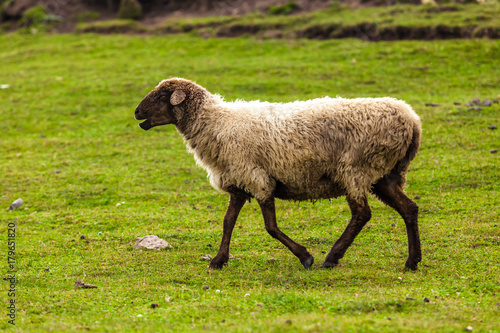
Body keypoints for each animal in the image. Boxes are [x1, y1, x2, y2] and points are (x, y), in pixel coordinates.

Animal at [134, 77, 422, 270]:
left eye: (160, 96)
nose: (136, 112)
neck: (216, 123)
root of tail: (412, 120)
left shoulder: (258, 178)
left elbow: (270, 227)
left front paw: (305, 256)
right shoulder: (239, 181)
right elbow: (228, 222)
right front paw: (218, 260)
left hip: (356, 168)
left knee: (362, 214)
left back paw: (332, 257)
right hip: (384, 174)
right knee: (409, 208)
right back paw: (412, 261)